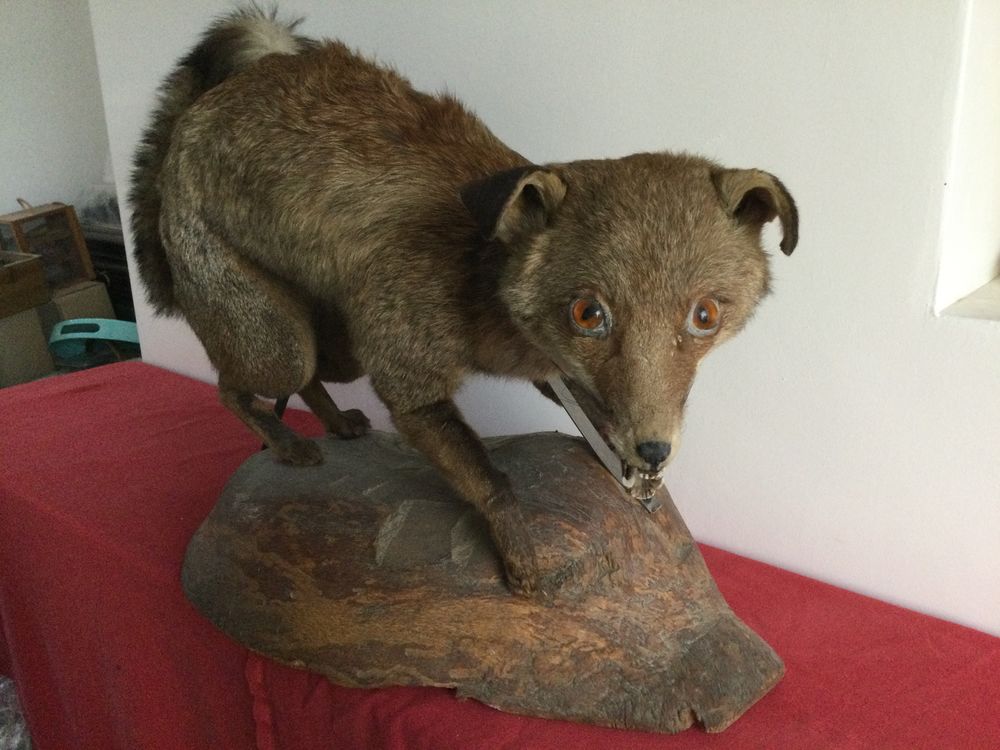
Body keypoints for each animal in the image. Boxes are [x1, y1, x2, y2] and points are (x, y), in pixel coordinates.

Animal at [131, 6, 798, 595]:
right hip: (278, 344)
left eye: (705, 316)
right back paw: (287, 442)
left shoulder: (549, 372)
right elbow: (492, 483)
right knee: (237, 386)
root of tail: (204, 109)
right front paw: (521, 561)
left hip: (333, 343)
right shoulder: (409, 382)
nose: (655, 452)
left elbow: (588, 409)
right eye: (588, 314)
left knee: (313, 378)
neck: (482, 275)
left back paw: (336, 423)